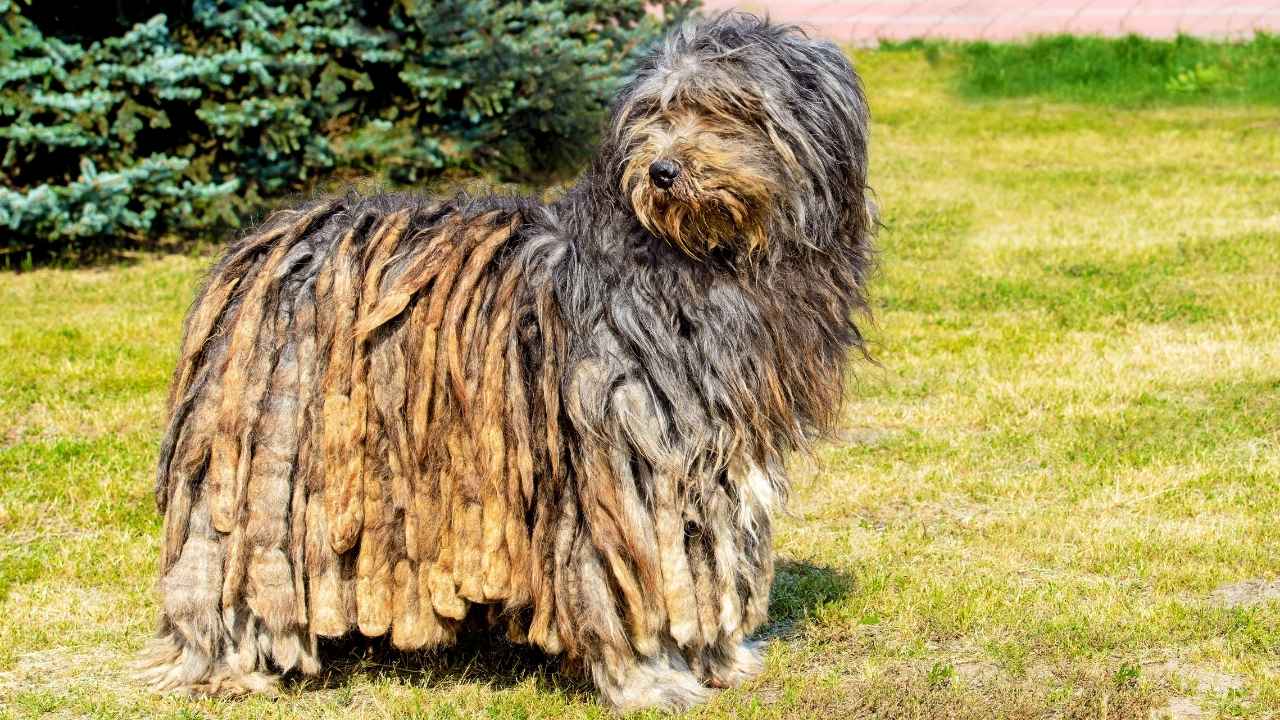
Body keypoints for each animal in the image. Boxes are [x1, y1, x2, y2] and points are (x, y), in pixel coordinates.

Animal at [140, 11, 875, 707]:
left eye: (727, 108)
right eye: (654, 114)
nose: (663, 171)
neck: (700, 261)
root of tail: (266, 244)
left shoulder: (717, 454)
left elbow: (710, 557)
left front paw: (720, 659)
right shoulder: (620, 456)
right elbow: (630, 578)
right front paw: (651, 678)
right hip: (264, 463)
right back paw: (226, 663)